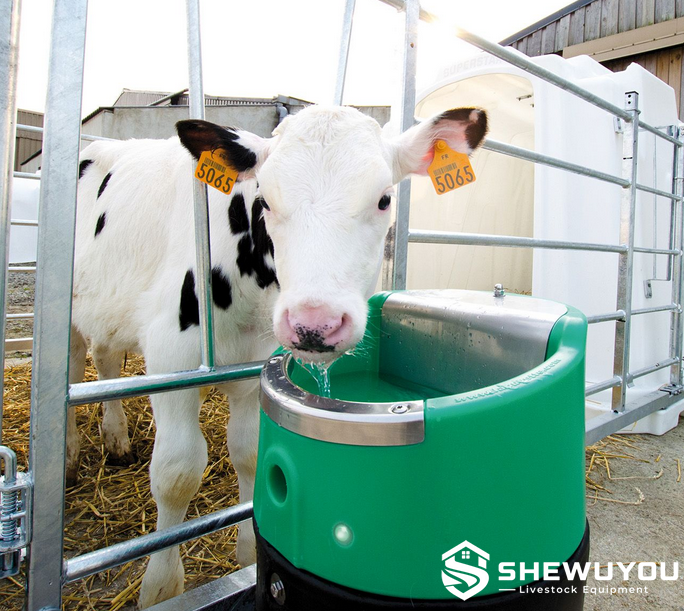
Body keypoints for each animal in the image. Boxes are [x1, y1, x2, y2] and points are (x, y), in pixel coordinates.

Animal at [68, 104, 487, 606]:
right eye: (264, 200)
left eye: (385, 199)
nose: (315, 323)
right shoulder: (172, 354)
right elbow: (177, 471)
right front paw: (161, 588)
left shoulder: (256, 365)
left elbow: (249, 451)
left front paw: (248, 551)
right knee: (74, 364)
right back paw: (69, 454)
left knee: (105, 356)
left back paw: (115, 438)